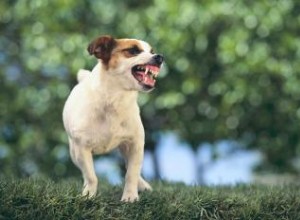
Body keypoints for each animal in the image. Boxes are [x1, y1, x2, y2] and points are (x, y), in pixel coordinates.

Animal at [61, 35, 163, 202]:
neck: (115, 101)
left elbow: (131, 174)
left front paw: (130, 196)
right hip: (73, 152)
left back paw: (142, 185)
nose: (160, 57)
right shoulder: (82, 149)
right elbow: (91, 176)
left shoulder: (135, 144)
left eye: (152, 51)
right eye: (133, 51)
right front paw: (89, 194)